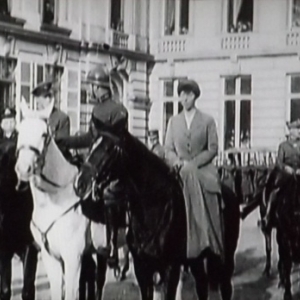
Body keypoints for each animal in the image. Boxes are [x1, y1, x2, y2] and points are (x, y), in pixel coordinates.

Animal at [74, 132, 240, 298]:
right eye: (91, 146)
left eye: (109, 149)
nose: (79, 183)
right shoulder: (142, 268)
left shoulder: (170, 268)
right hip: (196, 259)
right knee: (202, 284)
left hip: (225, 258)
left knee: (225, 286)